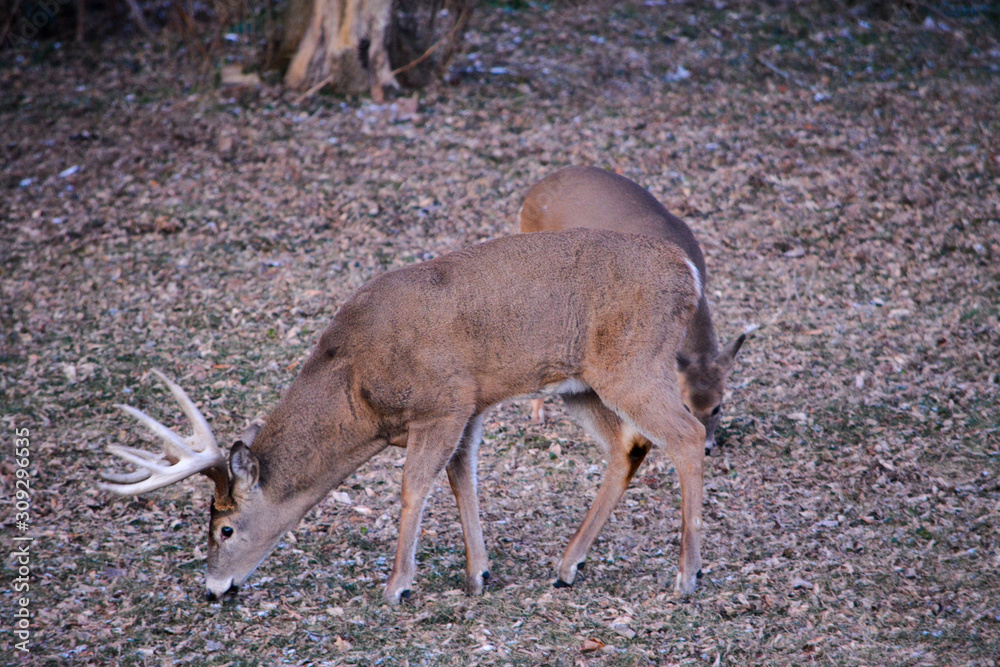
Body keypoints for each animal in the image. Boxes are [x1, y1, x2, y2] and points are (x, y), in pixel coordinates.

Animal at [101, 230, 708, 604]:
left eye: (224, 528)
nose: (213, 589)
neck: (358, 390)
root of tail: (688, 273)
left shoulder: (443, 402)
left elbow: (414, 485)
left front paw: (398, 585)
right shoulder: (469, 406)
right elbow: (462, 478)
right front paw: (477, 573)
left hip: (633, 362)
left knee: (688, 434)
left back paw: (685, 575)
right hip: (581, 385)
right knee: (628, 445)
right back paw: (567, 566)